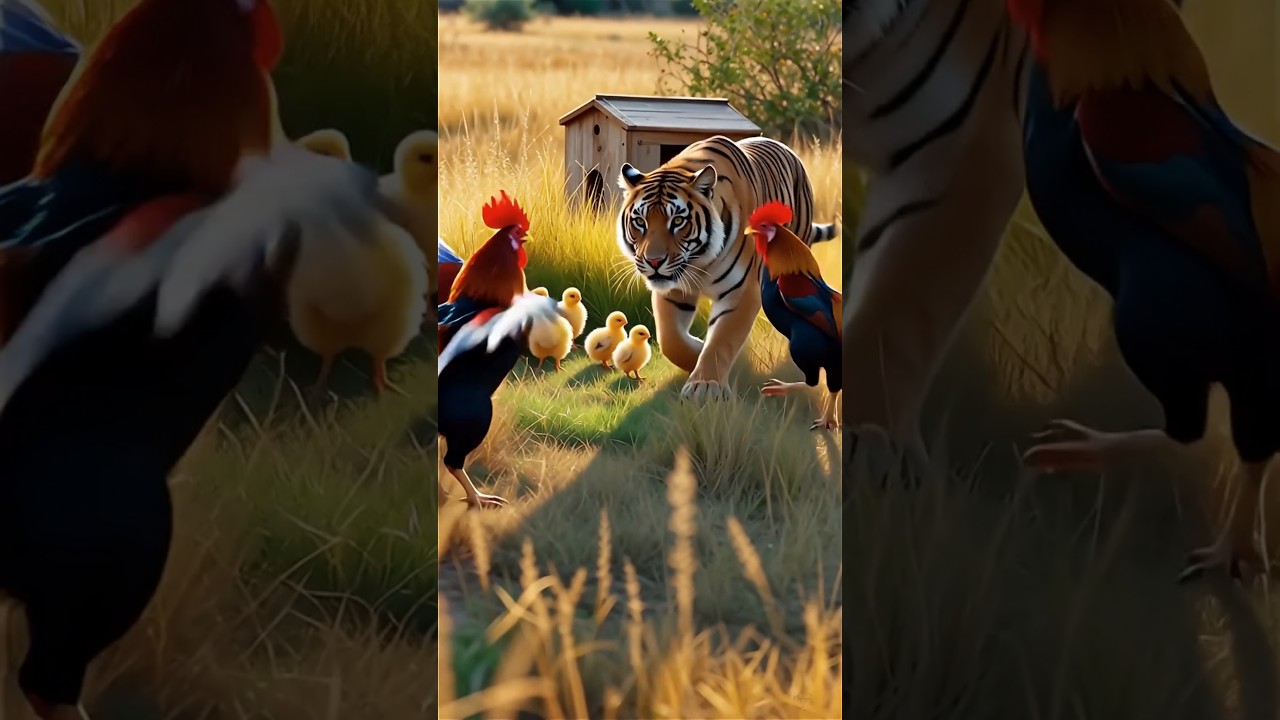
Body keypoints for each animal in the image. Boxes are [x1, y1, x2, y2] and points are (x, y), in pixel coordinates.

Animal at [615, 135, 839, 402]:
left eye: (678, 221)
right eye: (640, 222)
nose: (654, 262)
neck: (699, 262)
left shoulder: (741, 291)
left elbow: (722, 340)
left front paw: (705, 386)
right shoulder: (672, 290)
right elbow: (671, 340)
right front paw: (697, 355)